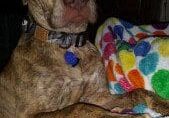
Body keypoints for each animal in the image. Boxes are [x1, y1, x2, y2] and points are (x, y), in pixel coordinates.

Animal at [0, 0, 168, 118]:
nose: (77, 2)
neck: (69, 46)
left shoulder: (98, 97)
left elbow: (138, 92)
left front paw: (163, 104)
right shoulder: (28, 113)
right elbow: (79, 107)